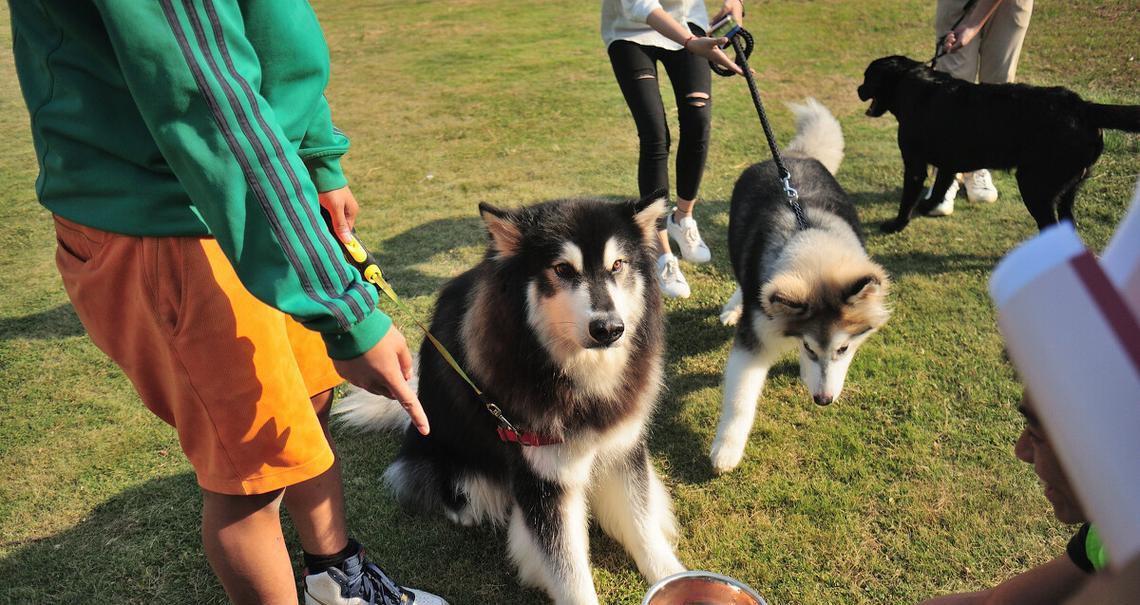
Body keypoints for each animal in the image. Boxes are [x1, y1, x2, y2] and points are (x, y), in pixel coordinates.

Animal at [857, 56, 1140, 232]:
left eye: (867, 77)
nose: (858, 89)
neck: (910, 84)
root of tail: (1083, 106)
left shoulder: (914, 164)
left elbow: (907, 198)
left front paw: (897, 224)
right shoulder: (949, 161)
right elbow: (940, 187)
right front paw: (927, 207)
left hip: (1035, 186)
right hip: (1068, 190)